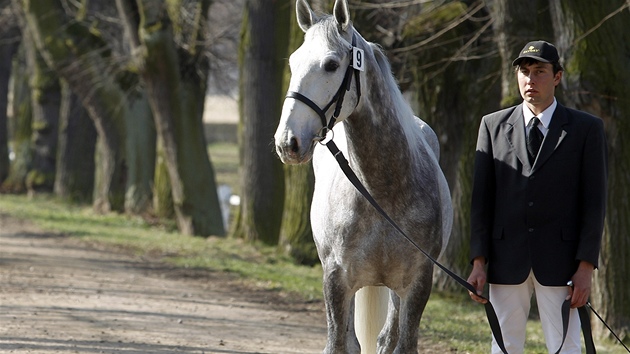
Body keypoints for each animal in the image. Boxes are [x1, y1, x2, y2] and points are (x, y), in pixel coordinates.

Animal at [272, 1, 454, 352]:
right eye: (293, 62)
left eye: (331, 64)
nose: (287, 142)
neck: (381, 191)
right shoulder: (336, 280)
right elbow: (338, 344)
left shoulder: (418, 283)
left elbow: (402, 343)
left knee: (385, 338)